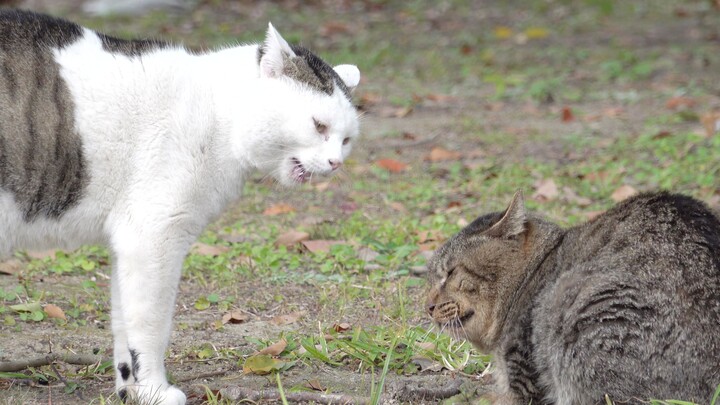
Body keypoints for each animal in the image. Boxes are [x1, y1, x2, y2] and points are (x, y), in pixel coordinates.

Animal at [0, 9, 360, 404]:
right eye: (318, 125)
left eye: (346, 140)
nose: (336, 163)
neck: (217, 115)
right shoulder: (154, 238)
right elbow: (152, 324)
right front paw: (155, 388)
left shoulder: (130, 243)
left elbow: (124, 323)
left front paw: (133, 389)